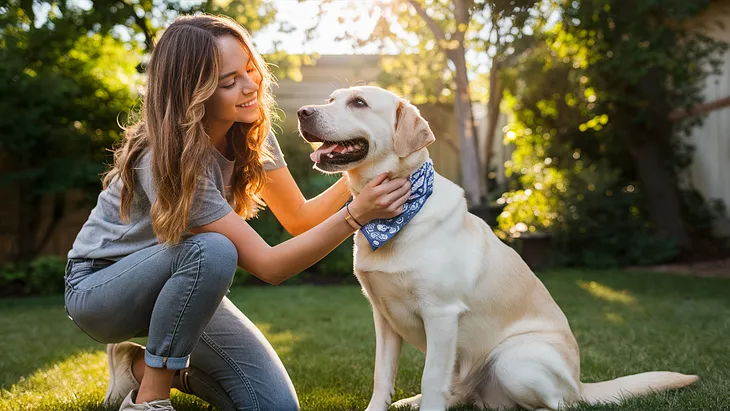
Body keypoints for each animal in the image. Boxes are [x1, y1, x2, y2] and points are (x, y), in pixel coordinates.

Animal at [294, 85, 692, 410]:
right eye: (331, 99)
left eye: (358, 103)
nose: (302, 112)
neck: (396, 217)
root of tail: (581, 384)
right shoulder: (384, 317)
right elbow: (382, 377)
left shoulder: (441, 314)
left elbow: (432, 378)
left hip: (513, 361)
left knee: (559, 404)